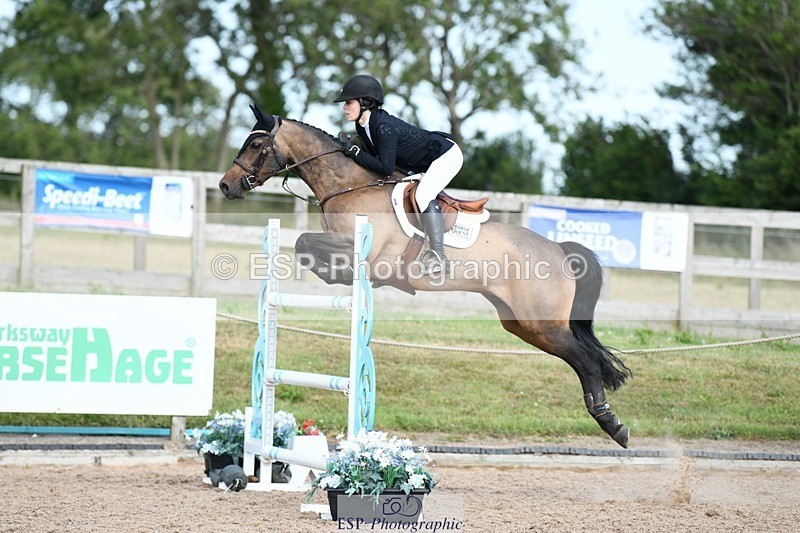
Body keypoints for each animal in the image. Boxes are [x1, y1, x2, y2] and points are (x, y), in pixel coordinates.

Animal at [219, 105, 632, 448]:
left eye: (256, 143)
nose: (226, 185)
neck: (347, 186)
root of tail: (560, 250)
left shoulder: (367, 248)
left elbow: (307, 242)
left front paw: (339, 273)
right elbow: (305, 245)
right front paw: (334, 275)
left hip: (542, 322)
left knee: (588, 362)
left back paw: (613, 425)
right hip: (523, 324)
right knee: (580, 361)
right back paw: (608, 420)